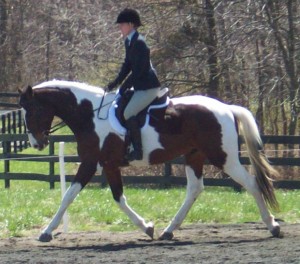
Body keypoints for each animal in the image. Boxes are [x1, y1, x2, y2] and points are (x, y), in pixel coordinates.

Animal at [18, 80, 282, 241]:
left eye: (32, 111)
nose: (37, 143)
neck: (90, 115)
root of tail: (226, 108)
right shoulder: (109, 165)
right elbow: (119, 198)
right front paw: (147, 227)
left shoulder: (91, 163)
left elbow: (68, 196)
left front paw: (46, 232)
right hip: (194, 156)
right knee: (195, 189)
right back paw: (168, 231)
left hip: (223, 157)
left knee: (252, 184)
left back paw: (273, 226)